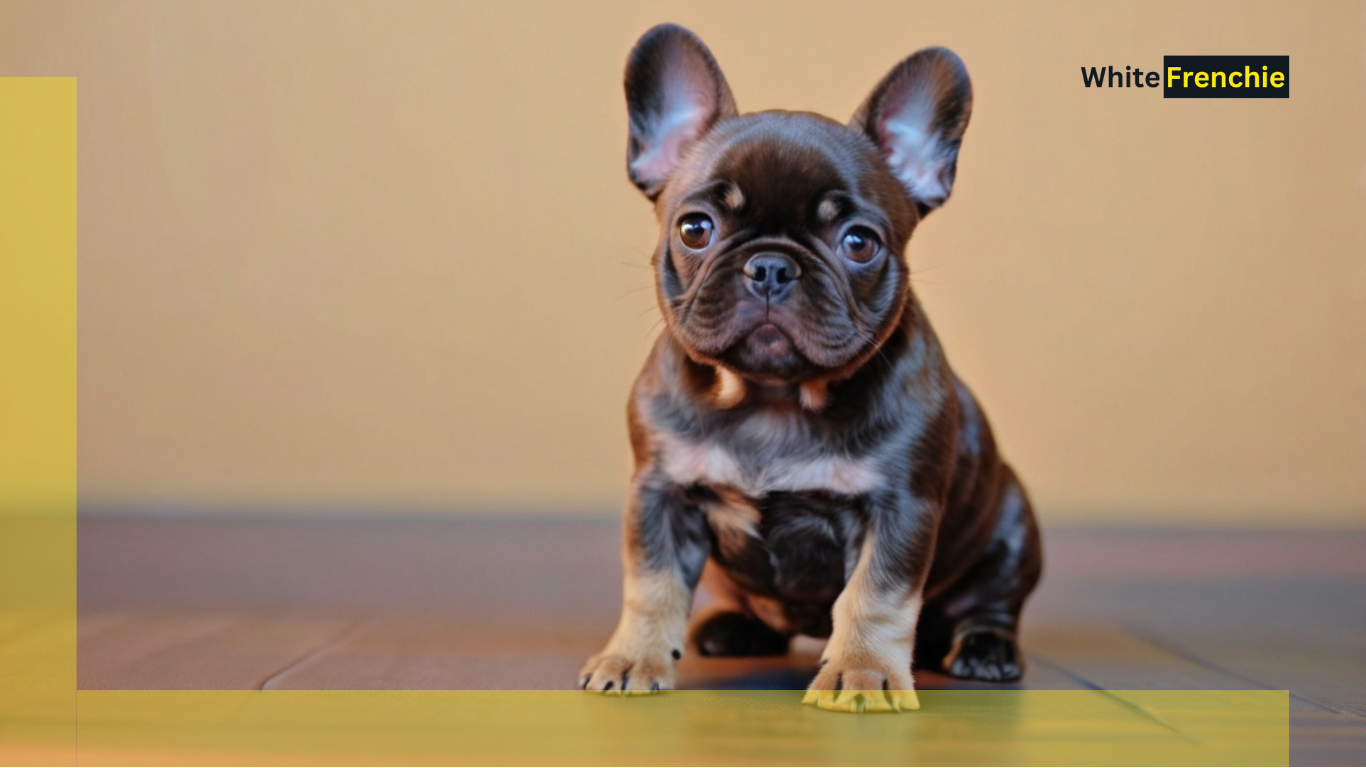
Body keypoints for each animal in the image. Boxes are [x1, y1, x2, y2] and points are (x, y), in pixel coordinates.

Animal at [573, 23, 1032, 710]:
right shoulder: (661, 494)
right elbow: (651, 585)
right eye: (694, 228)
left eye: (859, 242)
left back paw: (984, 651)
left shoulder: (898, 508)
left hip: (1010, 528)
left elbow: (876, 597)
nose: (770, 265)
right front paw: (633, 658)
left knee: (989, 605)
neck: (774, 397)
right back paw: (733, 629)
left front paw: (862, 675)